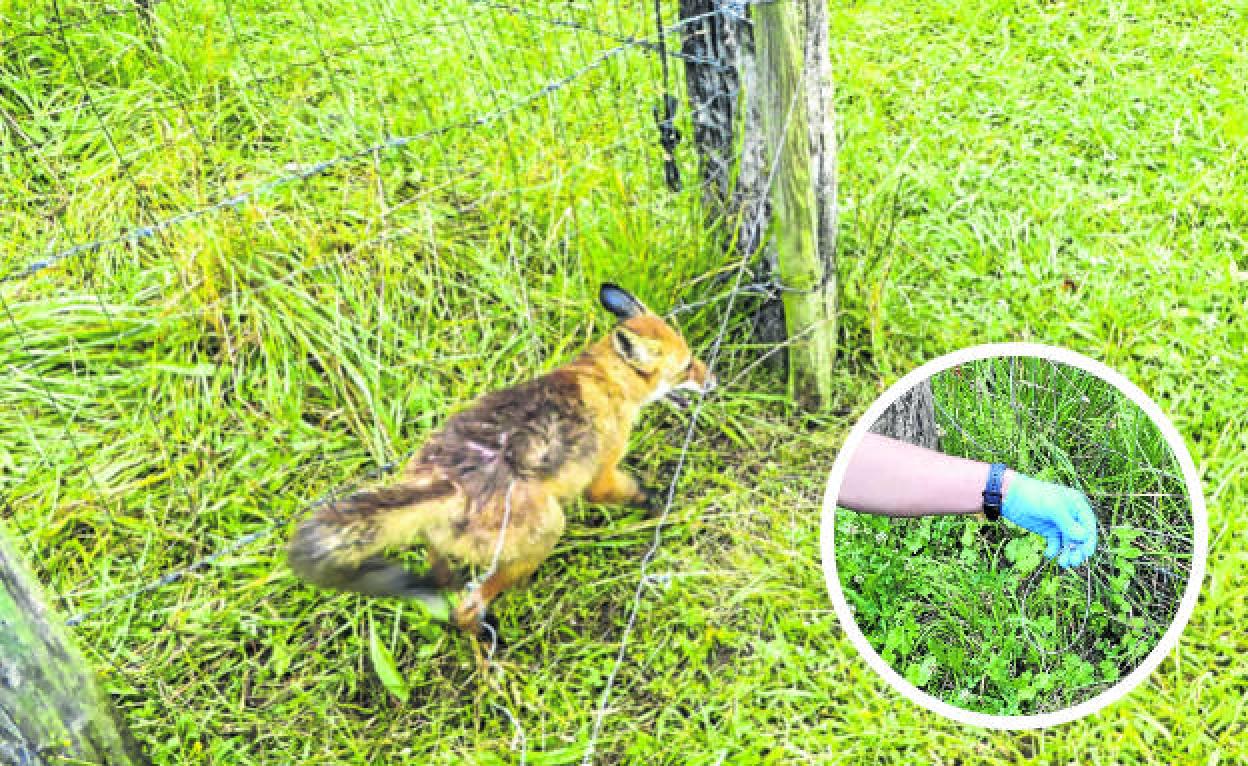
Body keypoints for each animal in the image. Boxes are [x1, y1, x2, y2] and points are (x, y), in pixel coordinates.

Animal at [284, 285, 713, 638]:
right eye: (686, 366)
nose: (712, 381)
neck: (603, 379)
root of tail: (447, 484)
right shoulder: (601, 473)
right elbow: (630, 492)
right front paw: (660, 504)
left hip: (441, 540)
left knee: (445, 579)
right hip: (546, 531)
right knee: (468, 606)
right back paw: (489, 636)